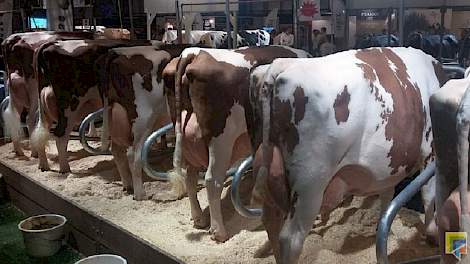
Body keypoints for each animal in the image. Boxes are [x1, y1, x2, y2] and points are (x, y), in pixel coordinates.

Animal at [31, 37, 150, 173]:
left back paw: (43, 165)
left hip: (45, 107)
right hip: (69, 106)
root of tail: (50, 45)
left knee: (41, 132)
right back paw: (65, 169)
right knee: (60, 136)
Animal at [102, 43, 197, 200]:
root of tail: (117, 53)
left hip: (114, 115)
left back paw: (128, 186)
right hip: (143, 119)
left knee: (117, 150)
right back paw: (140, 194)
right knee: (133, 154)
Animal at [163, 44, 310, 241]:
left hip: (188, 143)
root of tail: (194, 52)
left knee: (190, 177)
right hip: (220, 140)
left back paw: (199, 218)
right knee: (212, 180)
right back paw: (219, 231)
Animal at [248, 48, 446, 264]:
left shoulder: (389, 166)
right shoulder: (429, 152)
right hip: (311, 182)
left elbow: (387, 195)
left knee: (271, 222)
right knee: (290, 239)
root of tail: (280, 66)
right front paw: (432, 233)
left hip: (270, 169)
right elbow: (428, 195)